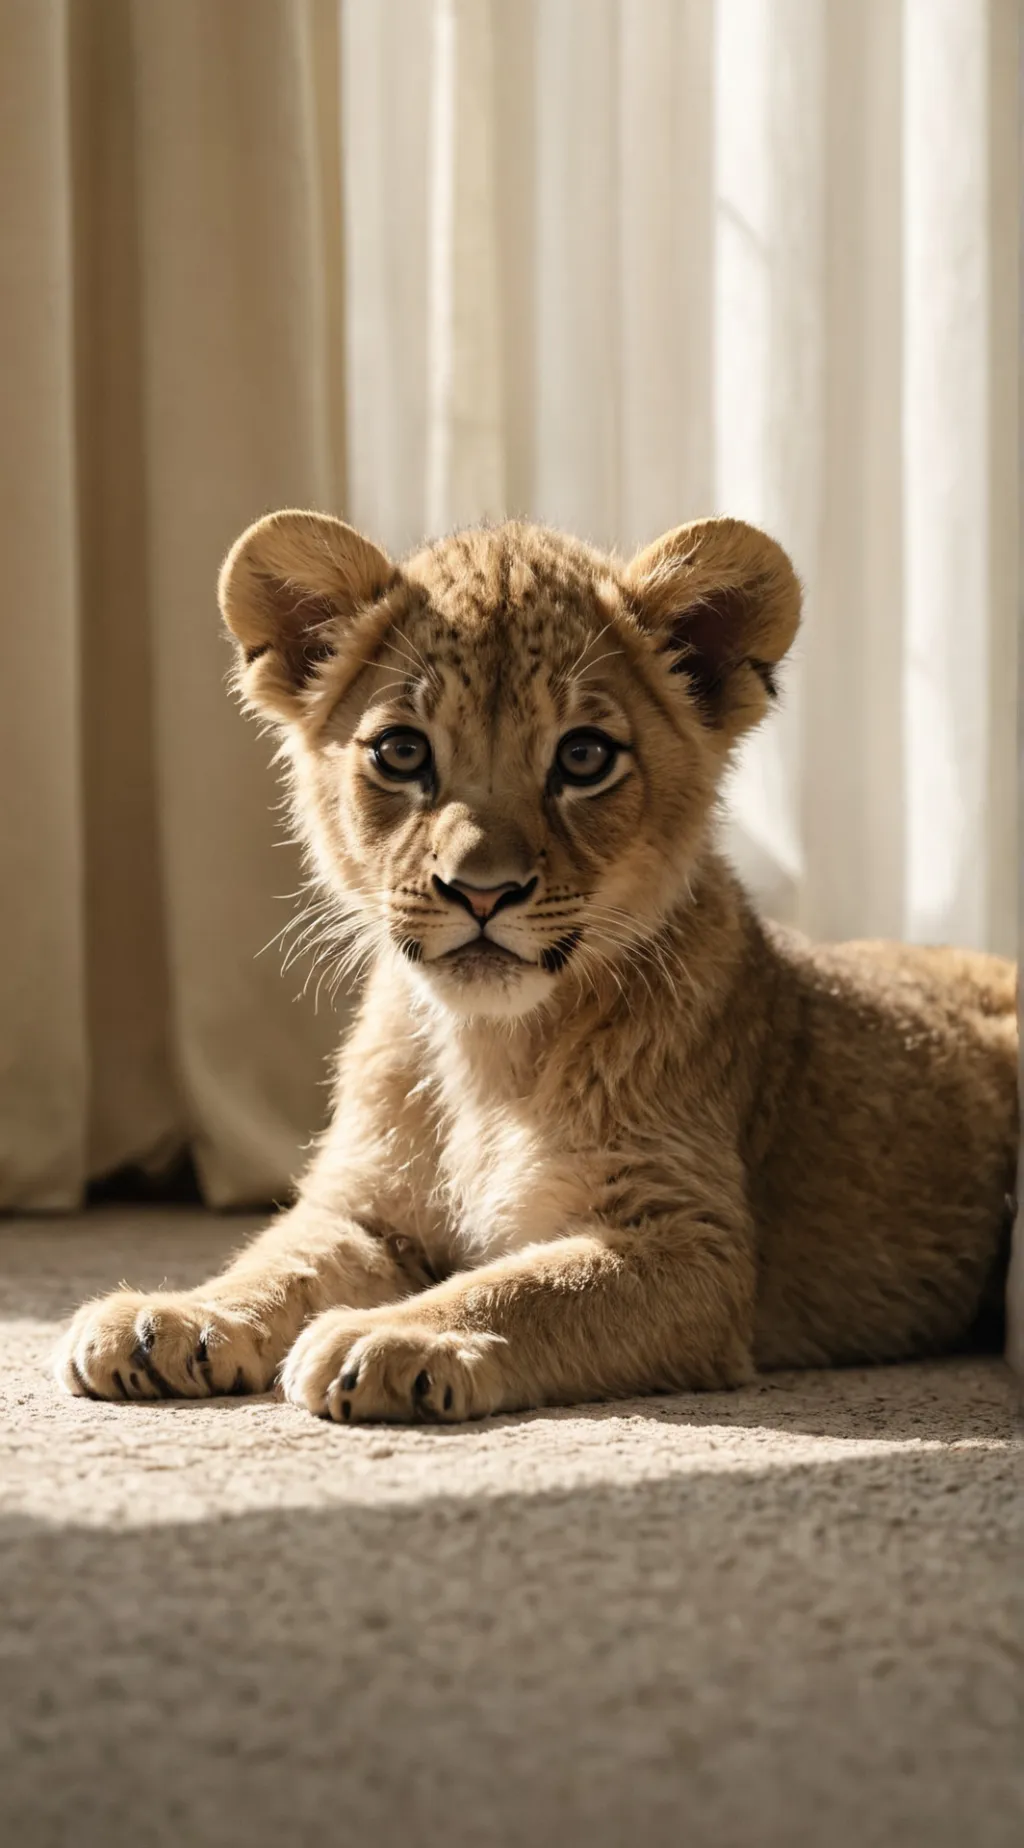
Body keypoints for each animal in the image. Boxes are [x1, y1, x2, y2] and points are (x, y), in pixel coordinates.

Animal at [55, 511, 1017, 1421]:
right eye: (401, 752)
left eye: (584, 756)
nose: (482, 892)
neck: (490, 1051)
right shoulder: (366, 1208)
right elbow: (277, 1259)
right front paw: (170, 1317)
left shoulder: (695, 1246)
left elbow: (524, 1287)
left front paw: (390, 1337)